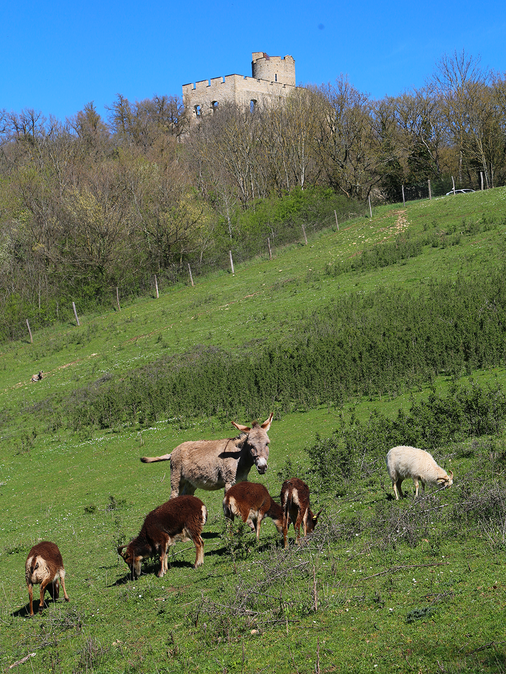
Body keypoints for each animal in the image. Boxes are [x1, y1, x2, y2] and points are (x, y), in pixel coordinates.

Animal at [140, 410, 274, 498]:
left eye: (267, 444)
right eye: (251, 445)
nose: (262, 467)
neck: (239, 457)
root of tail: (172, 452)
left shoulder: (241, 480)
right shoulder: (228, 482)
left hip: (190, 482)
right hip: (176, 478)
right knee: (173, 496)